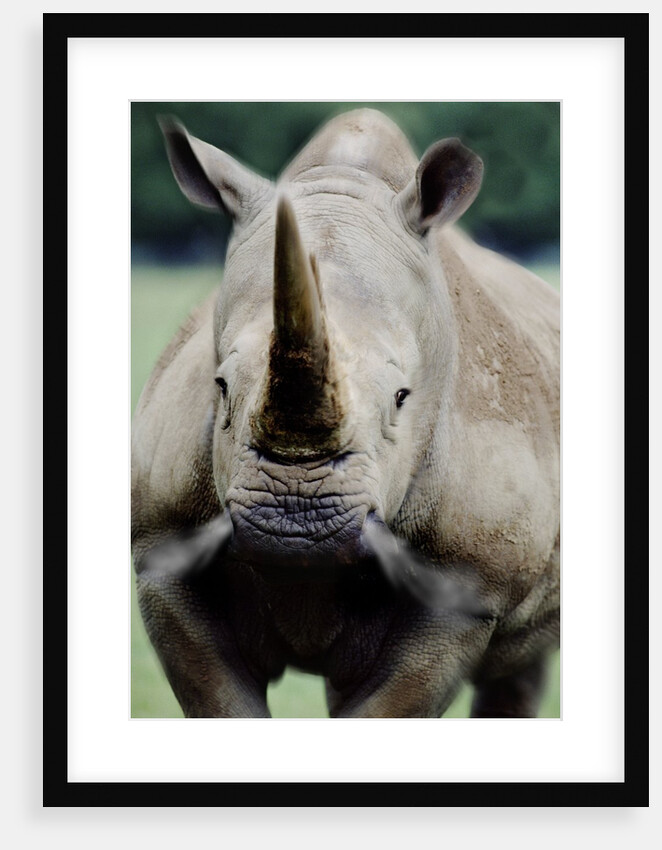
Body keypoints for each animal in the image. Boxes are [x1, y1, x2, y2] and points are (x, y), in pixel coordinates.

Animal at [131, 108, 560, 718]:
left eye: (403, 397)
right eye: (219, 387)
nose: (294, 527)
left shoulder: (470, 591)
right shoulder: (160, 560)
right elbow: (223, 703)